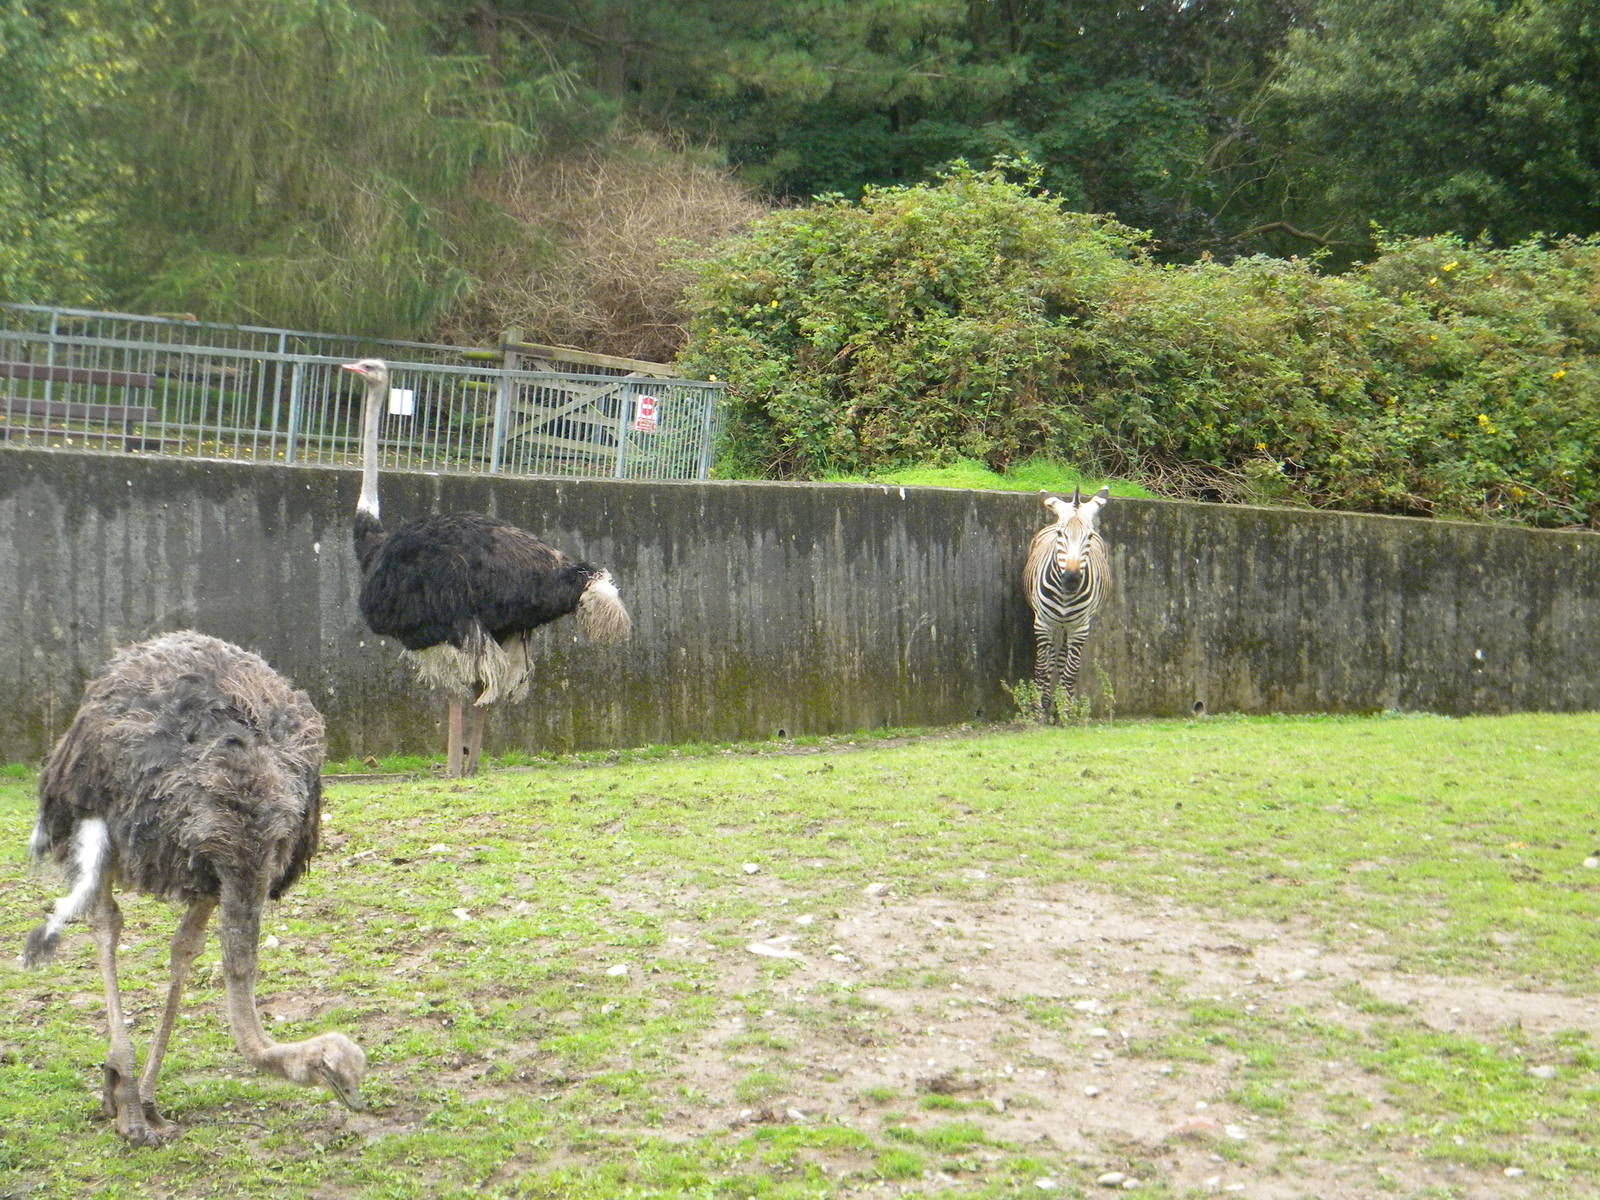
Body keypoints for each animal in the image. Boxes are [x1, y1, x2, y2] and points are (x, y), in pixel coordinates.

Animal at [1022, 486, 1111, 720]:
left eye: (1089, 536)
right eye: (1060, 534)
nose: (1071, 579)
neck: (1065, 595)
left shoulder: (1080, 628)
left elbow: (1070, 672)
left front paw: (1065, 711)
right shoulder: (1042, 624)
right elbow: (1042, 668)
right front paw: (1038, 710)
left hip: (1069, 626)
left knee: (1062, 658)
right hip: (1053, 624)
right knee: (1052, 658)